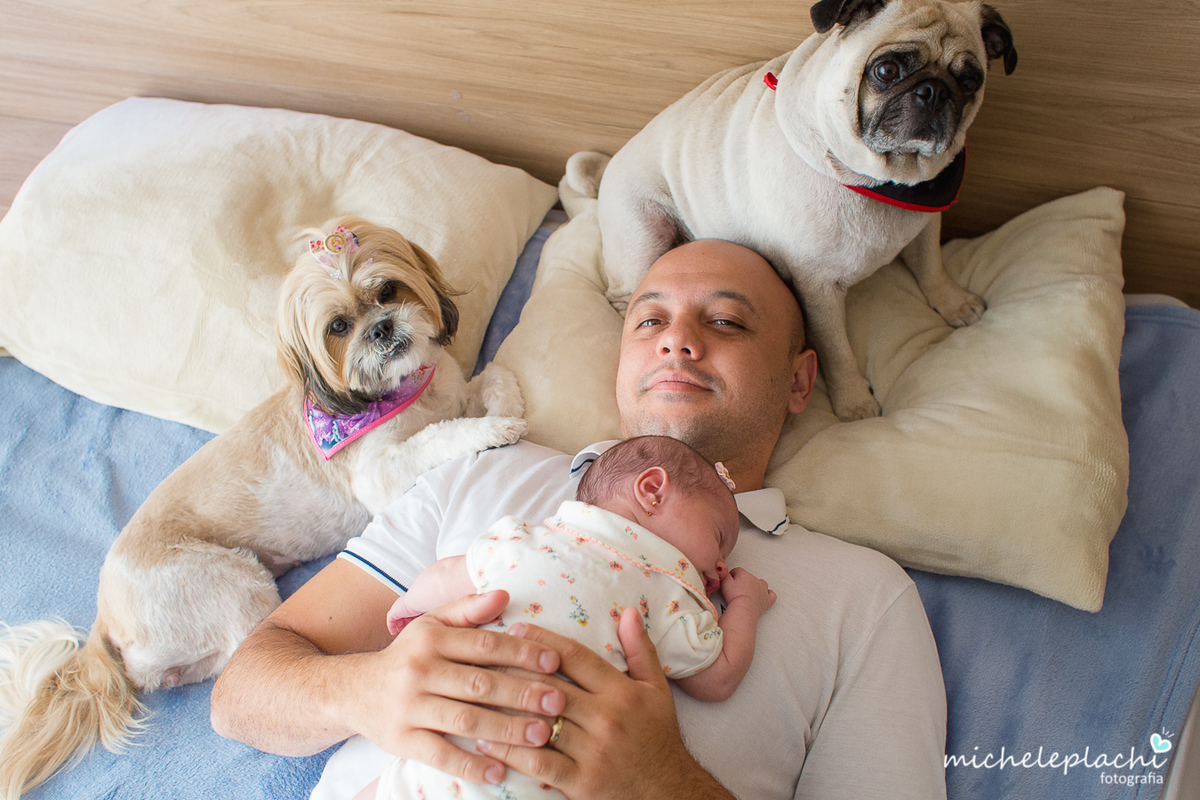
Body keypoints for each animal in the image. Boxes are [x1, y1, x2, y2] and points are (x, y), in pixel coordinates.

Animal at [0, 218, 526, 796]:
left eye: (388, 291)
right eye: (339, 326)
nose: (382, 328)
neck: (404, 393)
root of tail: (104, 611)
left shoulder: (455, 389)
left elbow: (494, 378)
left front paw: (509, 412)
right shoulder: (381, 474)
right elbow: (440, 437)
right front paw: (491, 431)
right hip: (233, 581)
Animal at [570, 0, 1016, 421]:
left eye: (970, 81)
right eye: (886, 70)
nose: (934, 91)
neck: (884, 184)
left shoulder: (925, 223)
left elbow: (931, 267)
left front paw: (953, 302)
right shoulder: (818, 287)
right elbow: (837, 350)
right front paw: (854, 401)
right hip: (644, 235)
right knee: (626, 297)